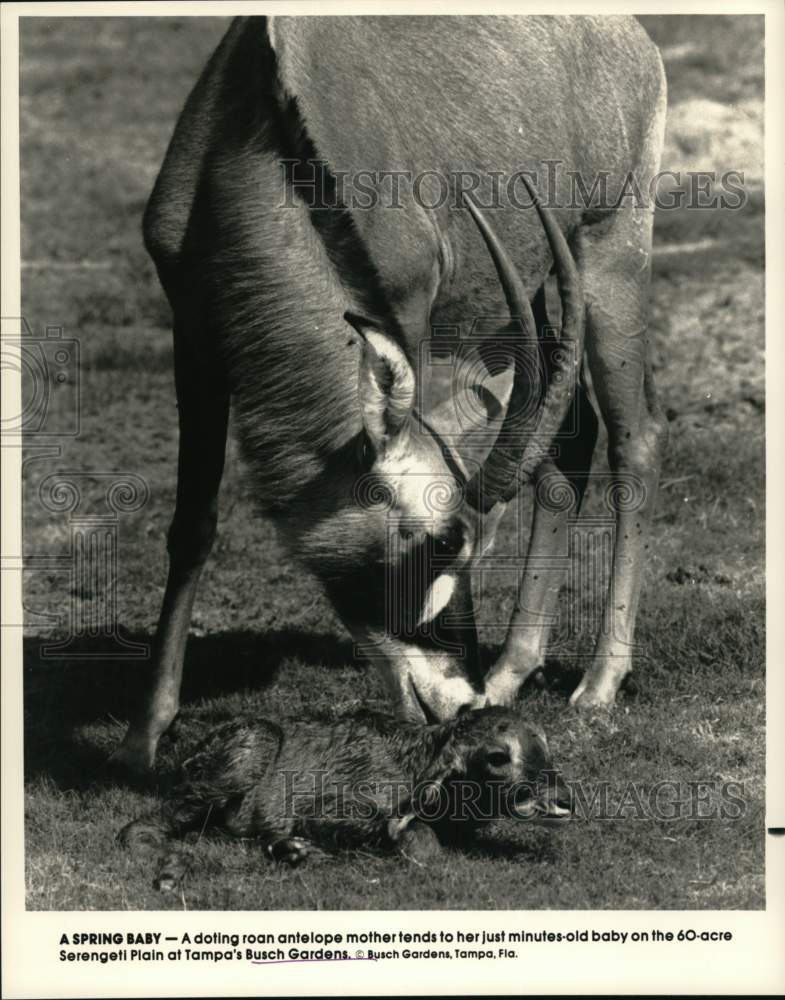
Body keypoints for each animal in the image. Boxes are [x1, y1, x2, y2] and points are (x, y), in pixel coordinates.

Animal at [115, 15, 667, 774]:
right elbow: (192, 526)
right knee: (570, 440)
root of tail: (631, 38)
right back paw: (513, 668)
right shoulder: (193, 333)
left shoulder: (404, 308)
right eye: (439, 541)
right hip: (523, 298)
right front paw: (144, 736)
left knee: (633, 440)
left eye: (468, 546)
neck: (254, 124)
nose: (461, 702)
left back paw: (599, 681)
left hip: (610, 249)